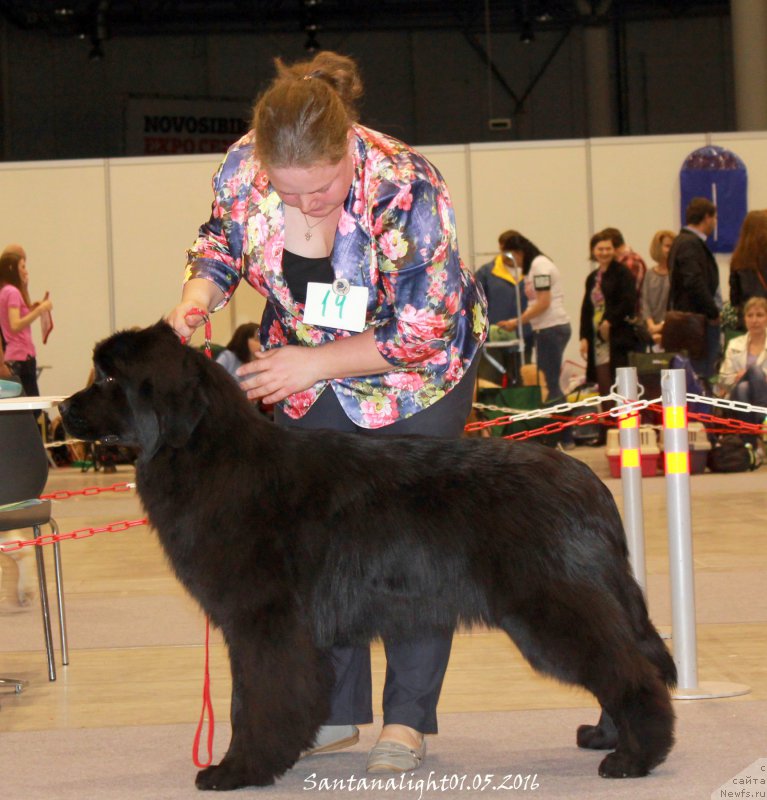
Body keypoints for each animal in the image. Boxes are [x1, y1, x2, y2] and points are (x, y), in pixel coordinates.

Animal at [64, 324, 680, 788]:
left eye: (109, 378)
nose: (64, 410)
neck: (207, 456)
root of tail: (587, 482)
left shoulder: (264, 622)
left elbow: (254, 701)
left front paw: (239, 770)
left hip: (551, 610)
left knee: (632, 670)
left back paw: (634, 756)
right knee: (623, 660)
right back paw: (606, 736)